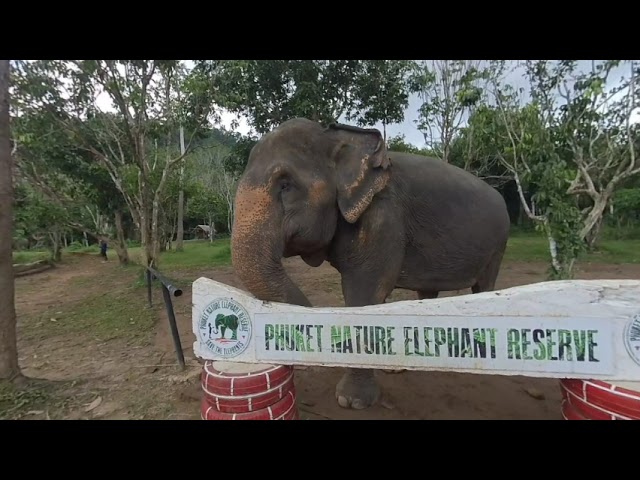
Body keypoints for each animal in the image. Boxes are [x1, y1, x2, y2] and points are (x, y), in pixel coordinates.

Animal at [231, 117, 510, 410]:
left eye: (285, 185)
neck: (336, 138)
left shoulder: (383, 216)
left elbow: (365, 294)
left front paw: (351, 401)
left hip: (498, 244)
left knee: (484, 288)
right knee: (426, 294)